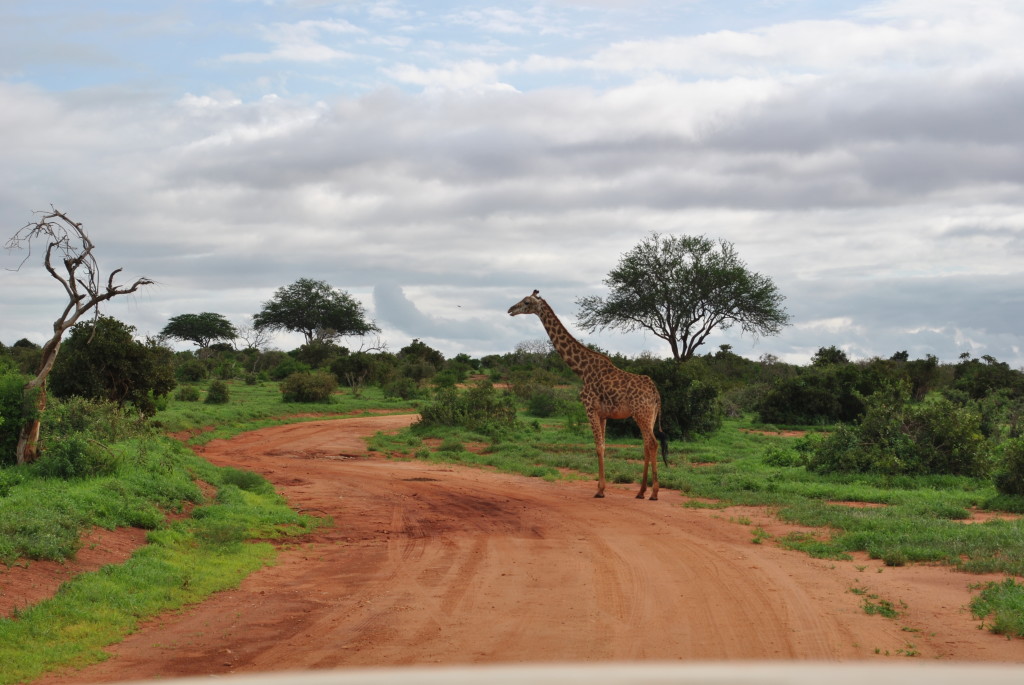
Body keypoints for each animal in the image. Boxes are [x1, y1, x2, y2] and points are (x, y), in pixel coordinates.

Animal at [507, 290, 667, 499]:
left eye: (526, 302)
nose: (510, 310)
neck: (581, 370)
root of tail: (656, 393)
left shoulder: (590, 408)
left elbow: (598, 446)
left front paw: (600, 490)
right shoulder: (603, 414)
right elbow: (603, 445)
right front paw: (602, 487)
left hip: (642, 413)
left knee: (653, 444)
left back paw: (654, 492)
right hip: (648, 415)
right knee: (647, 445)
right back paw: (640, 491)